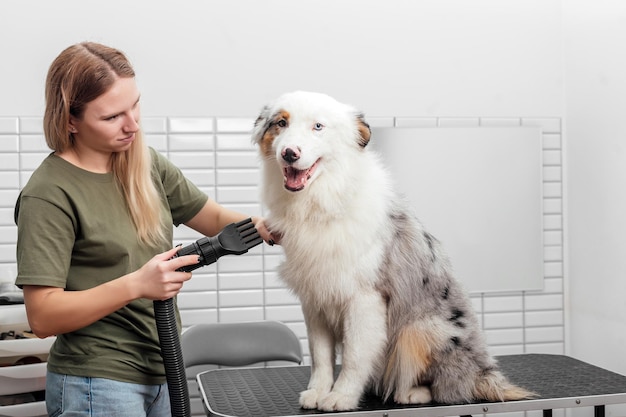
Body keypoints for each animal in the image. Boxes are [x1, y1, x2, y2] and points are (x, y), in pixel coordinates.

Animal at [250, 90, 532, 410]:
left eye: (318, 126)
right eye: (281, 123)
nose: (289, 153)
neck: (322, 202)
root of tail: (484, 373)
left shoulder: (364, 298)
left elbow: (354, 356)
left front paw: (341, 397)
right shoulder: (315, 298)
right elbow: (320, 356)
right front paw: (318, 392)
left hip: (421, 329)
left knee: (448, 386)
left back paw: (412, 393)